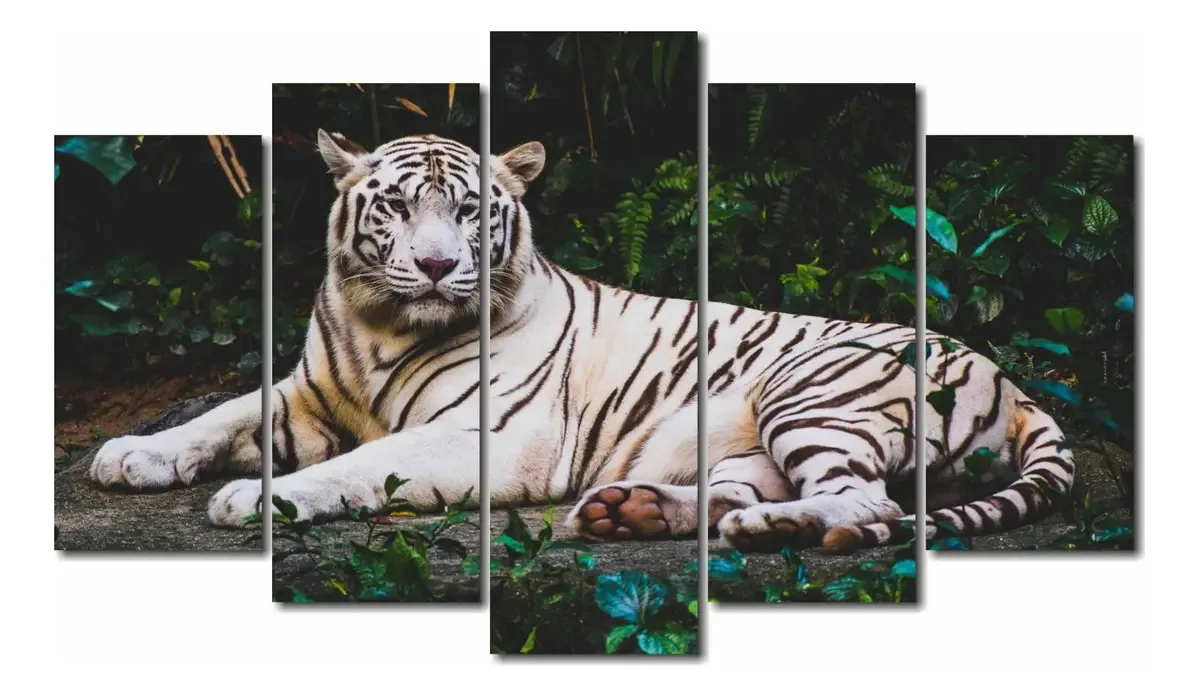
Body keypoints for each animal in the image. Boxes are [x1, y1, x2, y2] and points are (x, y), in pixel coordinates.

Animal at [87, 130, 1075, 554]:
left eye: (471, 211)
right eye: (398, 206)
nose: (438, 266)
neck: (381, 324)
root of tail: (1014, 383)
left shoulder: (484, 433)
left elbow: (358, 465)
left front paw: (258, 498)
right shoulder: (307, 396)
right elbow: (221, 412)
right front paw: (132, 453)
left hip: (812, 390)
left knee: (865, 505)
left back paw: (770, 528)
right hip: (751, 438)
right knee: (748, 490)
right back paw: (628, 513)